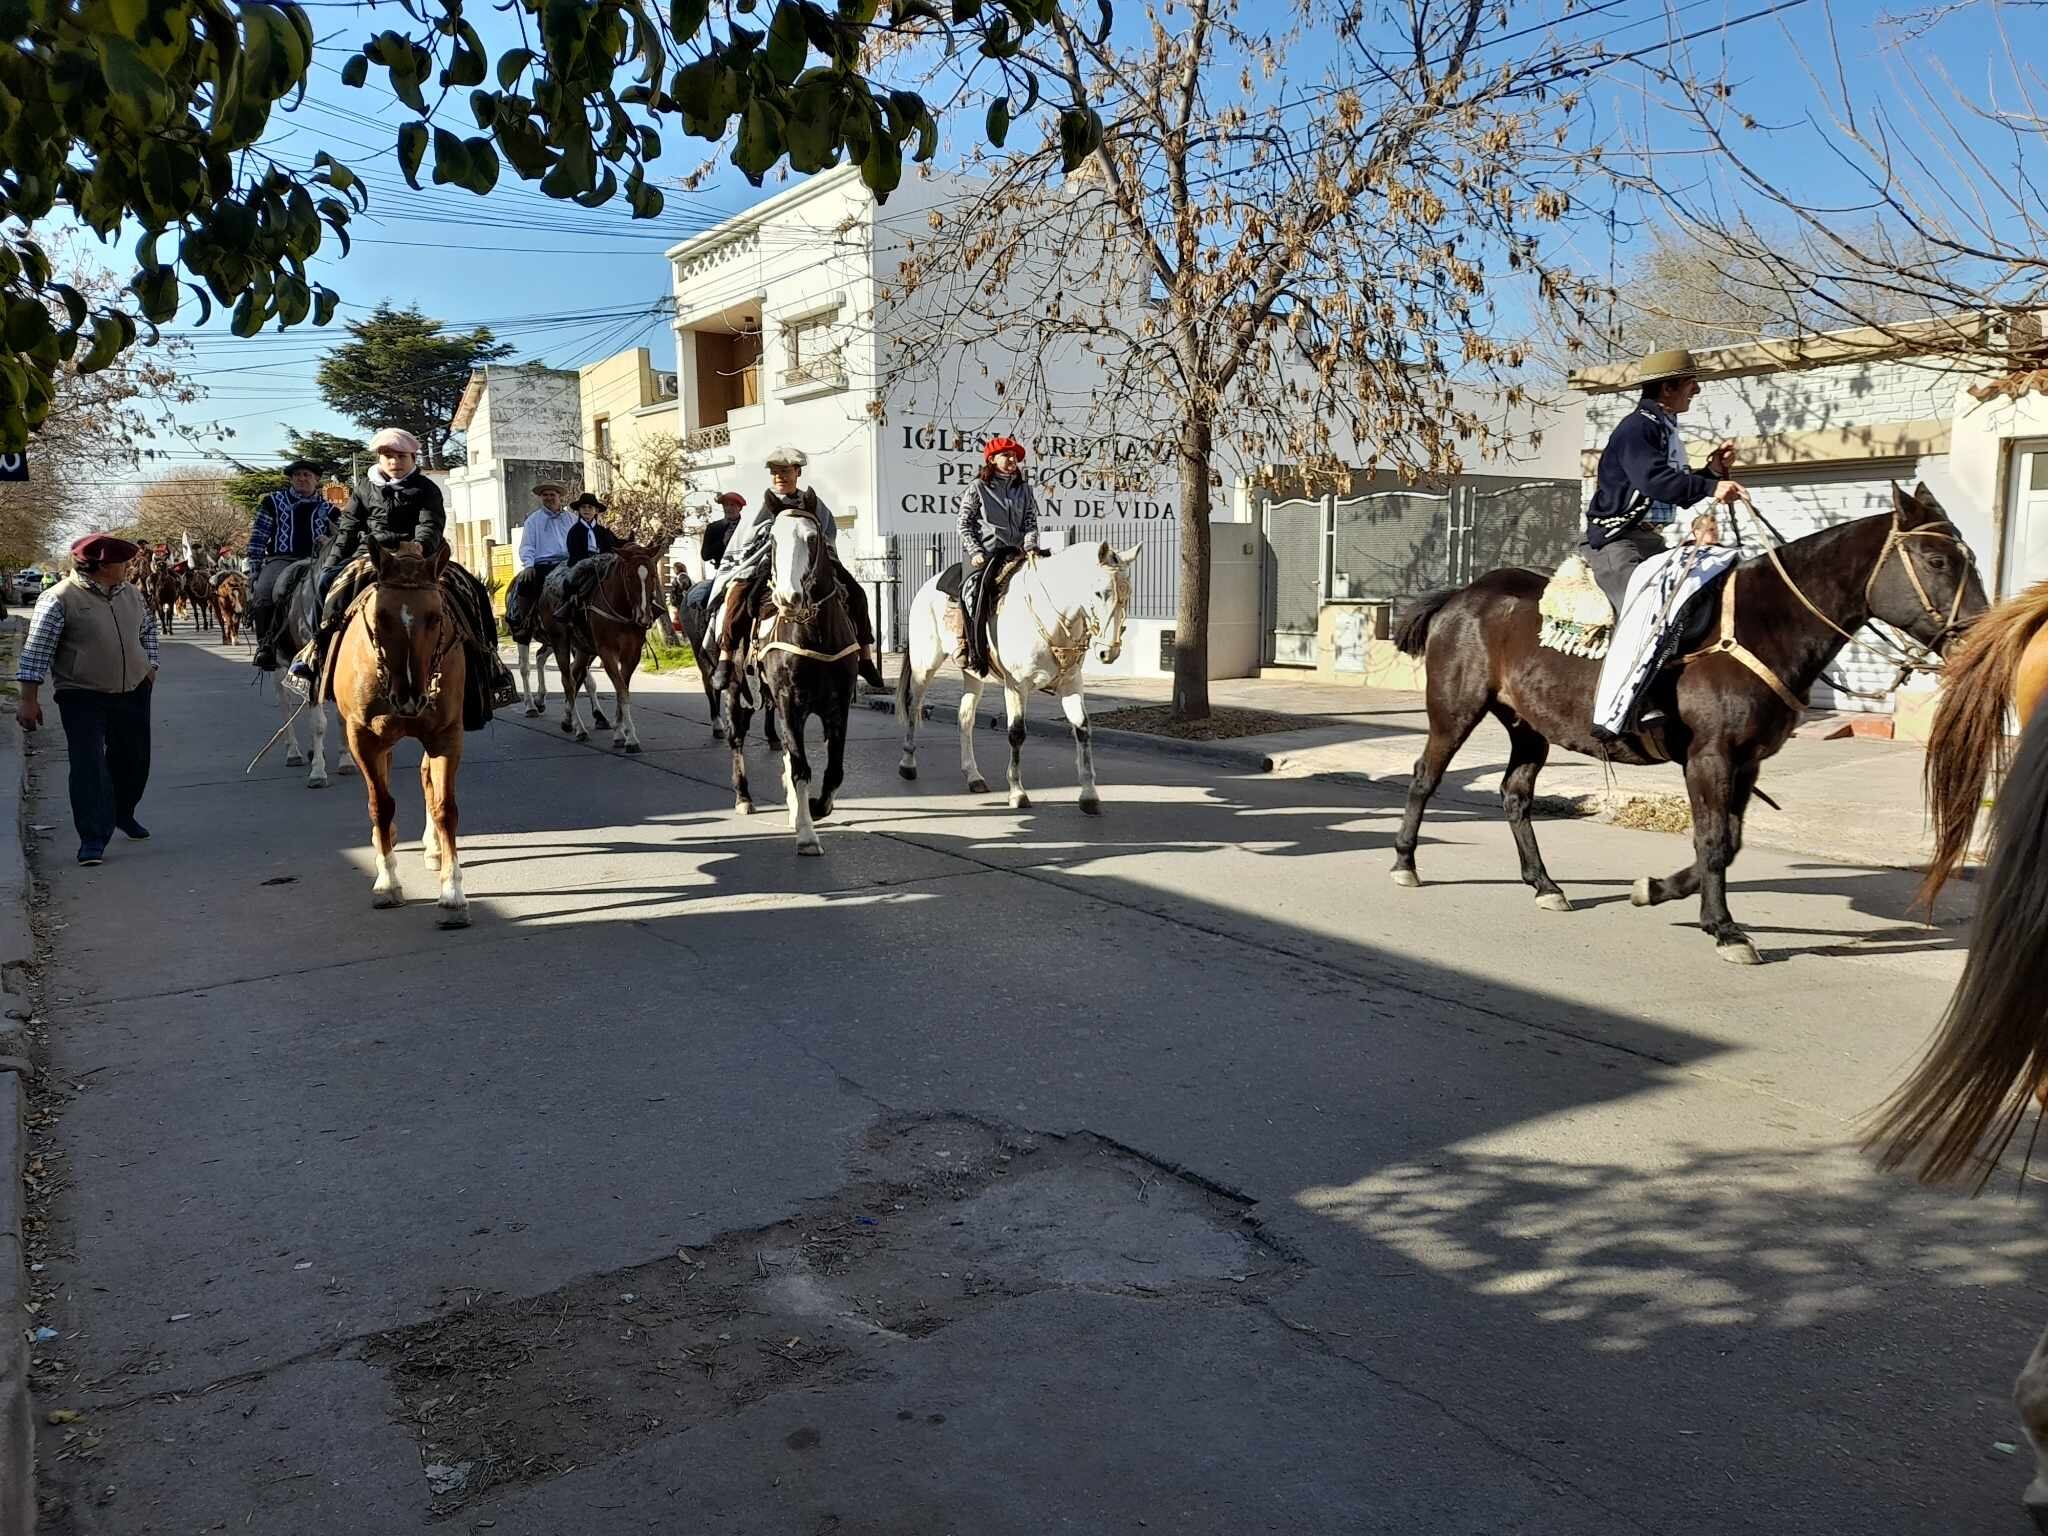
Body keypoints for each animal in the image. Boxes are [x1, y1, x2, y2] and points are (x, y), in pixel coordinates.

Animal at [329, 548, 468, 933]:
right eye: (381, 616)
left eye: (435, 617)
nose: (409, 697)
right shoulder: (362, 737)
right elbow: (380, 804)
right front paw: (387, 882)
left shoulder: (446, 735)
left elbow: (445, 808)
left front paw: (452, 894)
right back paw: (385, 841)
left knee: (425, 780)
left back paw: (433, 847)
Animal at [532, 548, 659, 753]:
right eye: (630, 576)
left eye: (653, 575)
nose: (644, 617)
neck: (621, 609)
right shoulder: (607, 653)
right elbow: (622, 691)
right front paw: (631, 738)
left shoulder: (632, 655)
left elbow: (622, 690)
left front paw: (619, 733)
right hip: (560, 642)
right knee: (567, 681)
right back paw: (580, 729)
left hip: (583, 650)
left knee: (575, 675)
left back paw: (568, 720)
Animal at [901, 540, 1146, 819]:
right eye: (1098, 593)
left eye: (1128, 593)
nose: (1109, 652)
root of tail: (926, 587)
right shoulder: (1016, 685)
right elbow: (1017, 733)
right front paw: (1017, 793)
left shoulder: (1071, 683)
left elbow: (1082, 729)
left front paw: (1089, 796)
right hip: (924, 666)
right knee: (913, 706)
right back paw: (908, 764)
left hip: (973, 675)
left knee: (965, 717)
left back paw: (973, 776)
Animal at [1392, 483, 1982, 962]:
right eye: (1935, 560)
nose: (1975, 634)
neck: (1765, 623)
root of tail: (1462, 595)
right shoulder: (1710, 757)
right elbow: (1714, 840)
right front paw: (1724, 929)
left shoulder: (1745, 763)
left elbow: (1730, 841)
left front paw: (1654, 889)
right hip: (1455, 711)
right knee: (1425, 777)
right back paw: (1405, 863)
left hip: (1528, 727)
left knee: (1515, 796)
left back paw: (1545, 885)